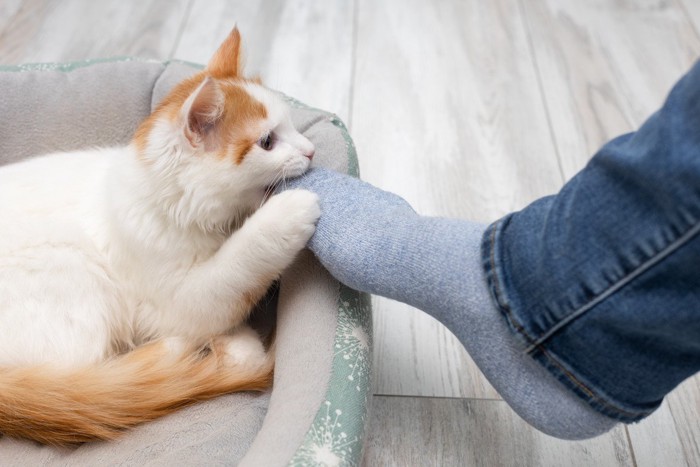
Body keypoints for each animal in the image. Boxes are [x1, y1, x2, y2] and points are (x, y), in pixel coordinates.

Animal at [0, 26, 320, 446]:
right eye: (267, 141)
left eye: (293, 127)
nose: (312, 151)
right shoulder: (177, 301)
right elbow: (235, 273)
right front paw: (288, 213)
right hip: (74, 274)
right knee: (94, 376)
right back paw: (182, 350)